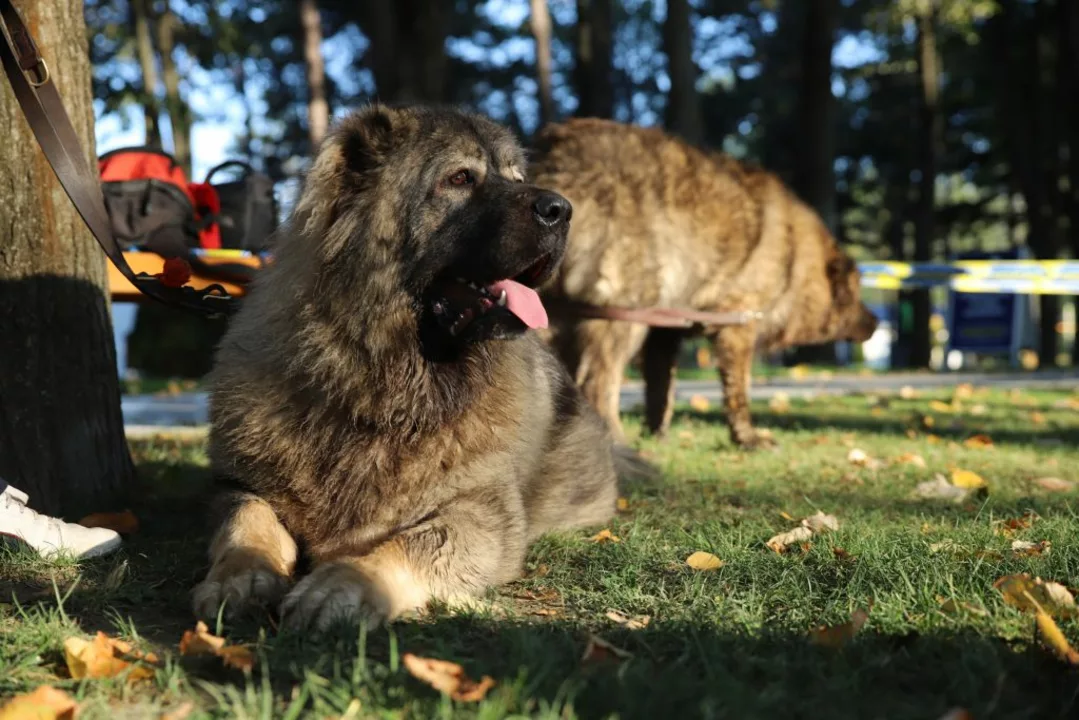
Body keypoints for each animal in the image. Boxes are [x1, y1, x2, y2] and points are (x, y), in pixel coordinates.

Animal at [192, 105, 638, 630]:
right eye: (460, 178)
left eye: (517, 178)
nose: (561, 209)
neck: (381, 381)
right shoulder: (237, 486)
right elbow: (246, 522)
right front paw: (240, 577)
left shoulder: (482, 510)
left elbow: (414, 544)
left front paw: (345, 584)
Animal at [530, 120, 876, 453]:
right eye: (857, 294)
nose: (875, 322)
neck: (794, 254)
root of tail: (555, 157)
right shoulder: (737, 324)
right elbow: (738, 391)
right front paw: (748, 438)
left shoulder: (663, 334)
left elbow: (661, 391)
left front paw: (657, 435)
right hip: (623, 313)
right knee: (597, 382)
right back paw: (615, 441)